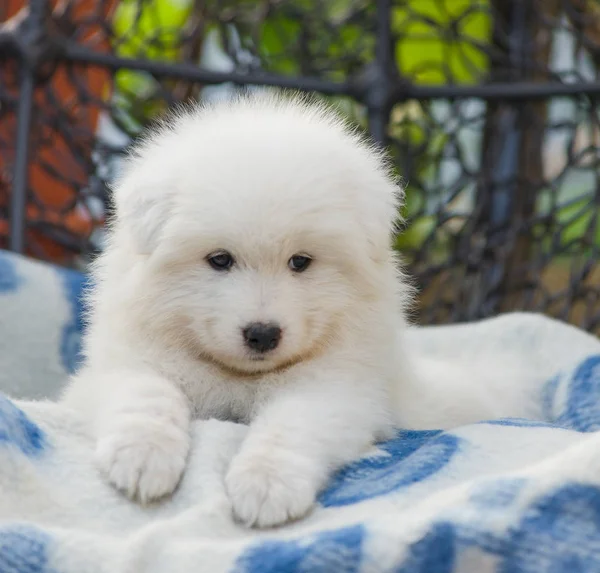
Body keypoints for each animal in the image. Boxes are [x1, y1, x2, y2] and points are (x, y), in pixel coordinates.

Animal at [63, 92, 414, 528]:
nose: (262, 334)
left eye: (300, 262)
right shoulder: (119, 365)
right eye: (220, 259)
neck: (238, 378)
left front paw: (266, 485)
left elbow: (292, 422)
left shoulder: (340, 388)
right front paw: (142, 456)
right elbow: (148, 392)